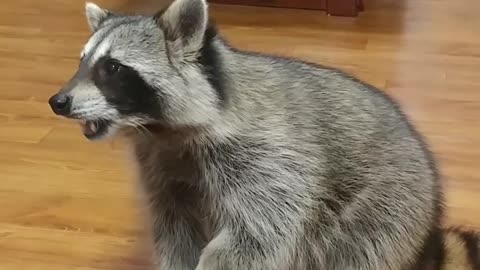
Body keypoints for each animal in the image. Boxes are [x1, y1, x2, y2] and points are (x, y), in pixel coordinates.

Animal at [47, 0, 478, 270]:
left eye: (113, 69)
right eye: (83, 62)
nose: (58, 101)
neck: (160, 130)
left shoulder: (268, 161)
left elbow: (258, 235)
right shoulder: (162, 166)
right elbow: (176, 229)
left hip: (385, 212)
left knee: (350, 250)